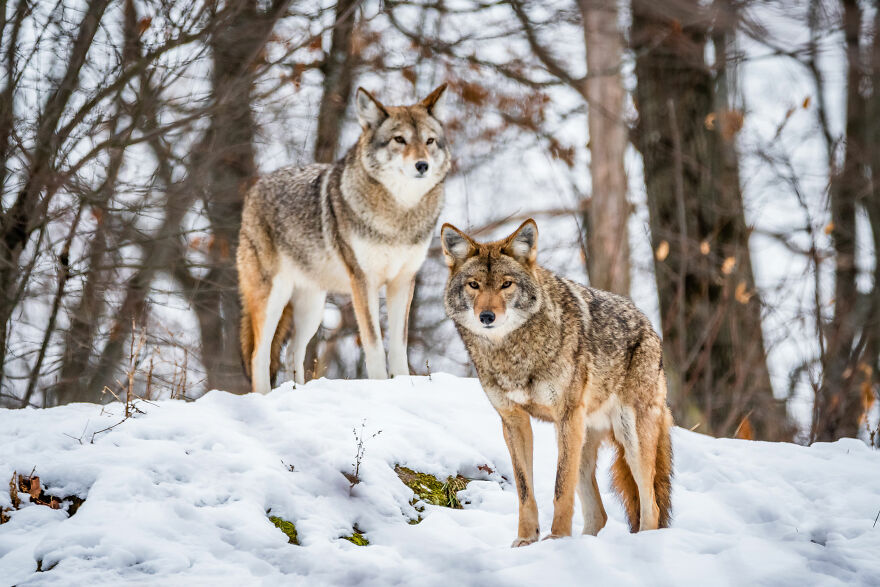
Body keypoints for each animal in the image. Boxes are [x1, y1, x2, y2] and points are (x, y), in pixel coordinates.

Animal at [238, 84, 450, 393]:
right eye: (399, 140)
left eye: (430, 141)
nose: (422, 165)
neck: (399, 216)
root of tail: (255, 188)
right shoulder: (363, 282)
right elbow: (374, 344)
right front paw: (380, 385)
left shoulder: (403, 281)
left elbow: (399, 346)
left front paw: (402, 385)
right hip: (273, 298)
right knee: (259, 354)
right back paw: (264, 397)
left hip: (312, 309)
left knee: (292, 353)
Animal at [441, 219, 673, 546]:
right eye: (474, 285)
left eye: (506, 284)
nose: (487, 316)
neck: (513, 354)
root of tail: (649, 325)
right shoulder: (513, 421)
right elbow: (525, 491)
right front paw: (527, 540)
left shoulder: (566, 416)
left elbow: (560, 489)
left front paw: (558, 537)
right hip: (584, 443)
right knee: (599, 514)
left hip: (629, 438)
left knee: (650, 504)